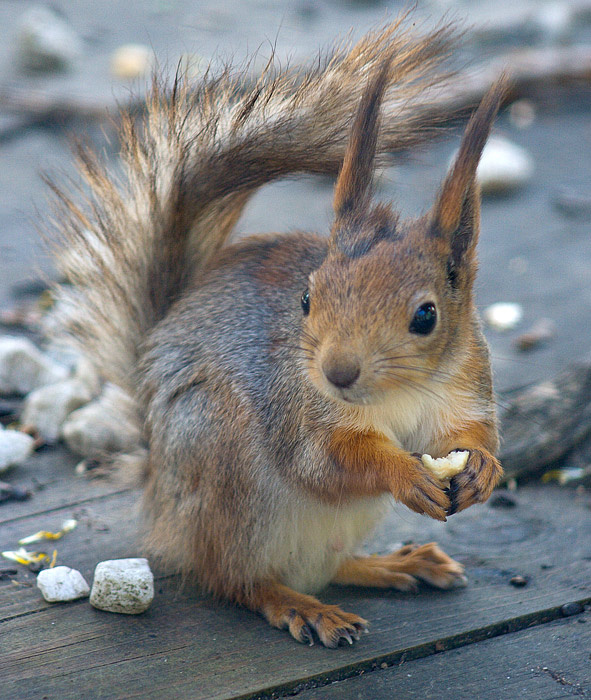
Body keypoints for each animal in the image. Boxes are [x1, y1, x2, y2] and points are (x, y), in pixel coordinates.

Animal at [47, 19, 504, 647]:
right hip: (225, 468)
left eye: (426, 316)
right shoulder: (298, 410)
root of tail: (158, 489)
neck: (398, 395)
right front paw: (402, 472)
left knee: (328, 564)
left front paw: (482, 469)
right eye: (307, 300)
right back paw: (301, 605)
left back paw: (393, 564)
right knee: (235, 579)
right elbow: (325, 463)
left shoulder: (467, 382)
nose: (337, 373)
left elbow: (473, 433)